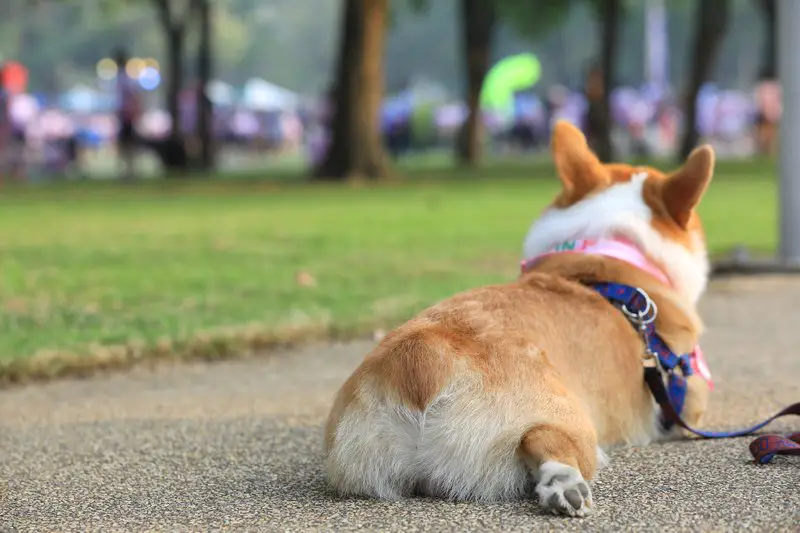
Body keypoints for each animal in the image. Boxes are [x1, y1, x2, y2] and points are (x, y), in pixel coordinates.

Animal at [324, 121, 712, 516]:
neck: (603, 251)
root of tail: (422, 358)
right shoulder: (691, 401)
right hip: (565, 416)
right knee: (545, 439)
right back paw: (566, 486)